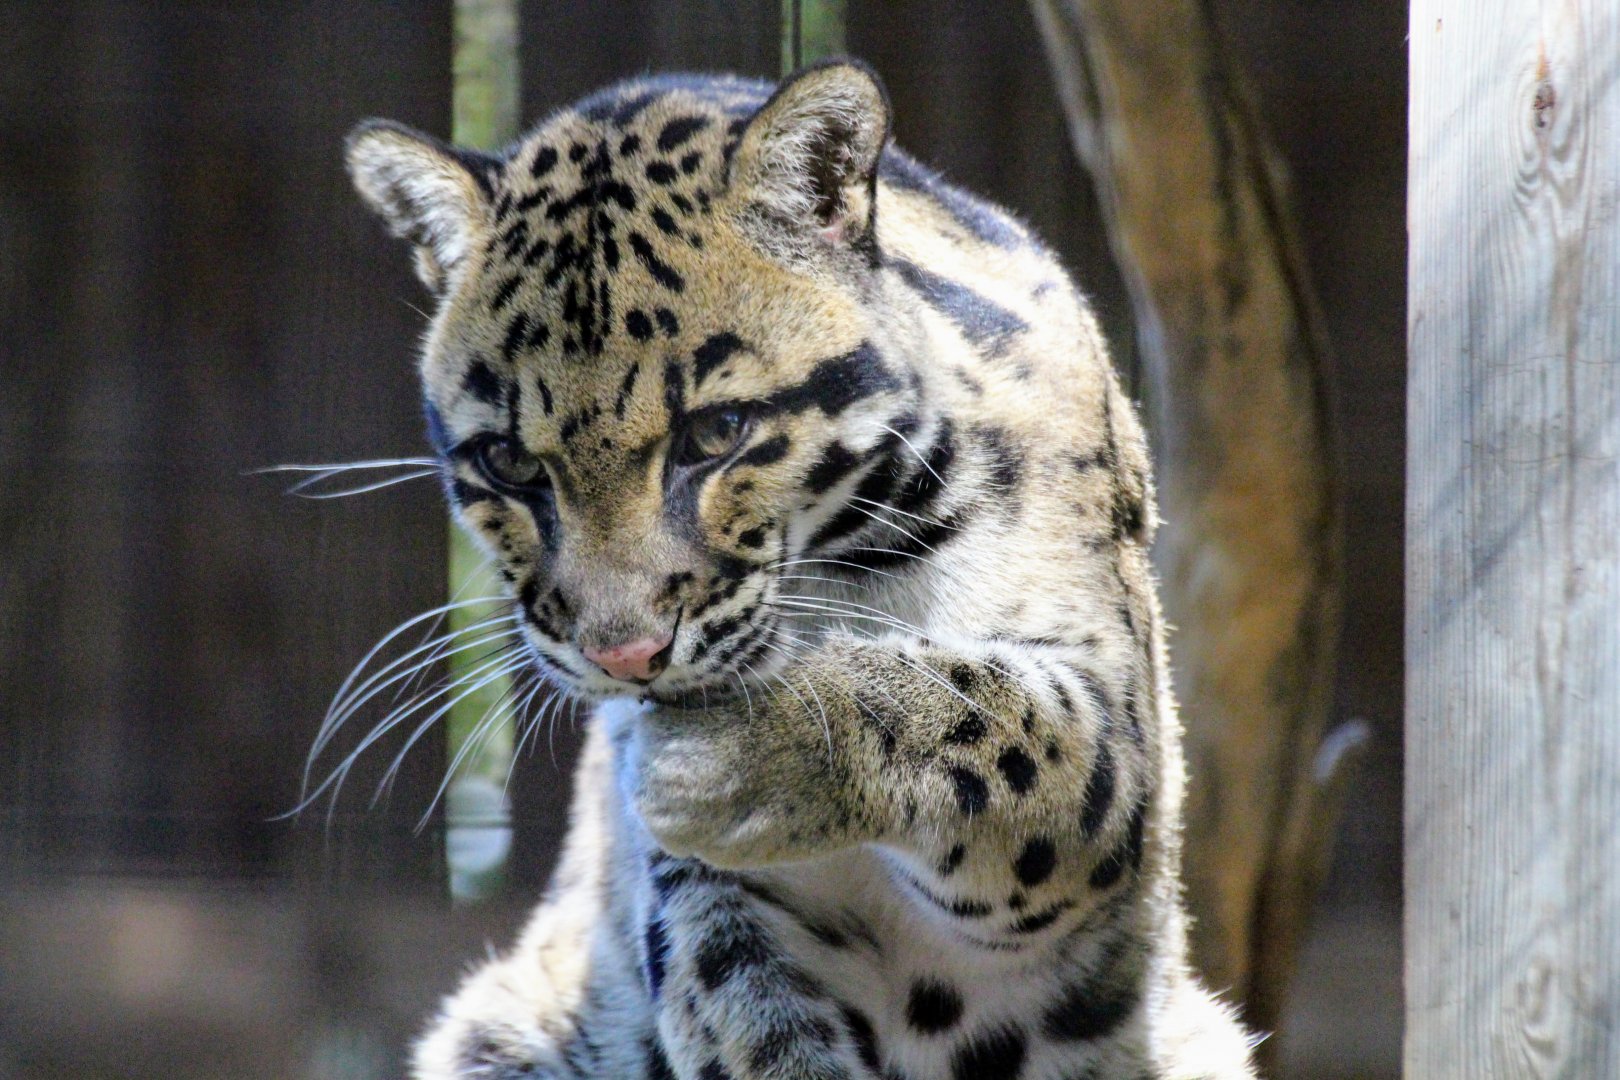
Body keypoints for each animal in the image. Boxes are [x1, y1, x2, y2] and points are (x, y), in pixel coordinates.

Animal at [343, 59, 1257, 1080]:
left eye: (716, 433)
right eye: (506, 462)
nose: (623, 657)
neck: (835, 579)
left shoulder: (1121, 721)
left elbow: (996, 717)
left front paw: (729, 760)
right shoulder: (708, 905)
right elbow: (745, 1011)